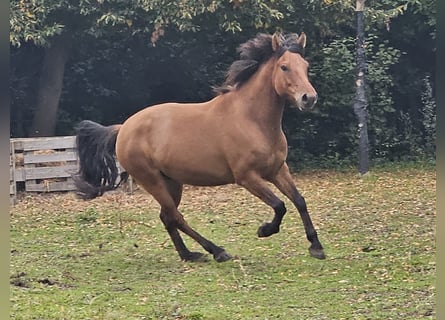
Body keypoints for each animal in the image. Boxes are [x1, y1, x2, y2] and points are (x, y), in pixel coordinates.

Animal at [74, 31, 326, 262]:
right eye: (284, 67)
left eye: (305, 66)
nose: (309, 98)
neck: (252, 120)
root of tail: (123, 128)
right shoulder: (247, 177)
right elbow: (279, 205)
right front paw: (265, 230)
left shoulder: (277, 170)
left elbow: (299, 200)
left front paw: (316, 247)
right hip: (152, 181)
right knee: (176, 216)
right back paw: (216, 251)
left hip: (171, 182)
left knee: (167, 217)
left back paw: (189, 254)